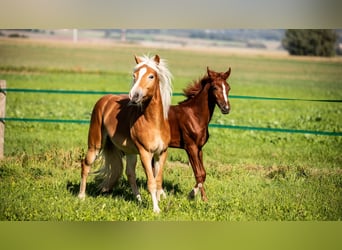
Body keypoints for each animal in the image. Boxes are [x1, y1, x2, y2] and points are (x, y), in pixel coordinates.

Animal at [78, 54, 172, 213]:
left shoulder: (162, 153)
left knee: (130, 174)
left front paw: (159, 202)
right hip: (95, 145)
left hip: (130, 152)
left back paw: (138, 199)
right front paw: (156, 209)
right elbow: (151, 182)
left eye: (151, 76)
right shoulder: (145, 153)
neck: (154, 122)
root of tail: (104, 100)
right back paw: (81, 196)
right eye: (134, 75)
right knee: (86, 165)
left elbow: (158, 180)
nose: (134, 95)